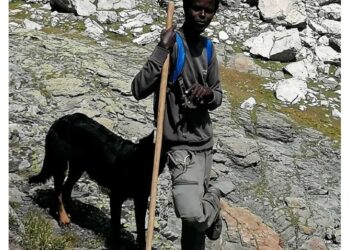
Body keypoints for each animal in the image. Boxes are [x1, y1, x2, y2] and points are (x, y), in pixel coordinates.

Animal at [28, 113, 165, 248]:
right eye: (144, 160)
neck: (135, 167)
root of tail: (59, 121)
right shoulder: (116, 197)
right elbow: (116, 224)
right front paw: (116, 243)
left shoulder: (141, 200)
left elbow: (141, 228)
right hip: (60, 165)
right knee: (58, 193)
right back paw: (64, 218)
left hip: (78, 166)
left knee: (66, 189)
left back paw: (75, 212)